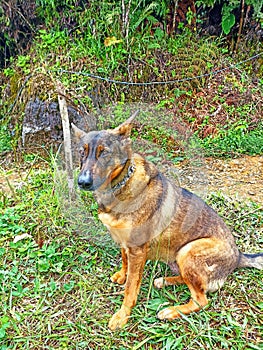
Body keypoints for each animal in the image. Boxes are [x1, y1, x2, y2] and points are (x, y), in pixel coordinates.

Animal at [71, 113, 263, 330]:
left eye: (104, 153)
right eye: (82, 153)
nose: (83, 182)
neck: (119, 186)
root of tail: (238, 257)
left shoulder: (137, 250)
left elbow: (130, 288)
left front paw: (122, 315)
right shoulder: (124, 243)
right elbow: (124, 260)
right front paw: (122, 274)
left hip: (188, 251)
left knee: (201, 300)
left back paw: (171, 311)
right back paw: (165, 281)